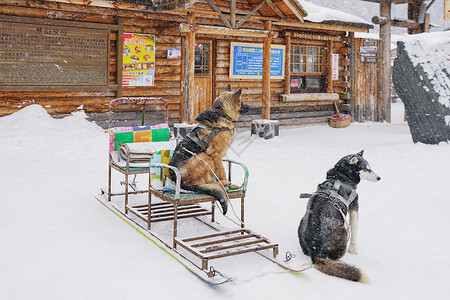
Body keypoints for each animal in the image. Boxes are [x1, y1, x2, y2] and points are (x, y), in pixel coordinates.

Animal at [298, 151, 380, 282]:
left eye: (370, 167)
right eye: (366, 168)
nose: (379, 178)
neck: (341, 177)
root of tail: (316, 252)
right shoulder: (354, 210)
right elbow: (354, 235)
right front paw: (354, 251)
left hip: (301, 222)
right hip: (344, 231)